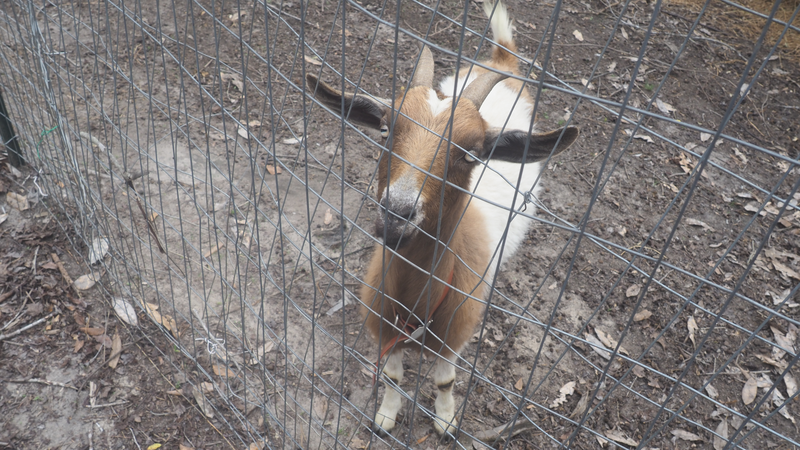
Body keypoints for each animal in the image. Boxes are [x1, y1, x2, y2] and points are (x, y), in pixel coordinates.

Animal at [306, 0, 579, 437]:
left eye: (471, 153)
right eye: (384, 128)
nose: (396, 213)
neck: (417, 302)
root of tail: (502, 60)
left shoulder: (455, 336)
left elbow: (445, 380)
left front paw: (446, 421)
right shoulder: (383, 326)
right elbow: (393, 376)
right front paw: (385, 417)